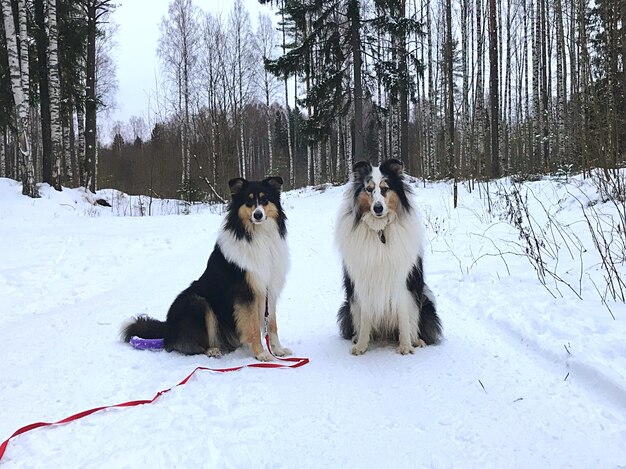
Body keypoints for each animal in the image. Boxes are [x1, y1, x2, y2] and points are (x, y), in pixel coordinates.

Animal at [122, 177, 292, 360]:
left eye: (265, 199)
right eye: (248, 201)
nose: (258, 215)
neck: (258, 235)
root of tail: (167, 327)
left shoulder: (269, 289)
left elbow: (272, 325)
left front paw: (278, 350)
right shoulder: (245, 293)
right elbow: (252, 326)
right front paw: (261, 354)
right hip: (198, 303)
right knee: (186, 344)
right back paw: (211, 350)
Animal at [336, 159, 438, 352]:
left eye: (385, 188)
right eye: (369, 189)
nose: (378, 208)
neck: (380, 230)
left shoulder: (402, 281)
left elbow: (404, 316)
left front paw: (405, 346)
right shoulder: (364, 282)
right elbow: (365, 318)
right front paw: (361, 345)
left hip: (425, 299)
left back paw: (416, 340)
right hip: (348, 304)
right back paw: (356, 337)